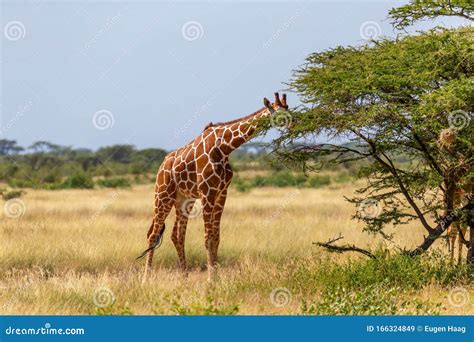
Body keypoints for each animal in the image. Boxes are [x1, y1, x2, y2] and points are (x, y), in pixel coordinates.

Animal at [138, 91, 288, 280]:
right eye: (279, 114)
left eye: (288, 109)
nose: (294, 123)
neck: (224, 148)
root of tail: (162, 165)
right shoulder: (207, 192)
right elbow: (208, 237)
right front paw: (210, 279)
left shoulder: (222, 192)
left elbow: (216, 237)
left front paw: (216, 277)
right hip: (163, 194)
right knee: (153, 233)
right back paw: (145, 279)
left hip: (183, 199)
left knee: (176, 235)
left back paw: (184, 277)